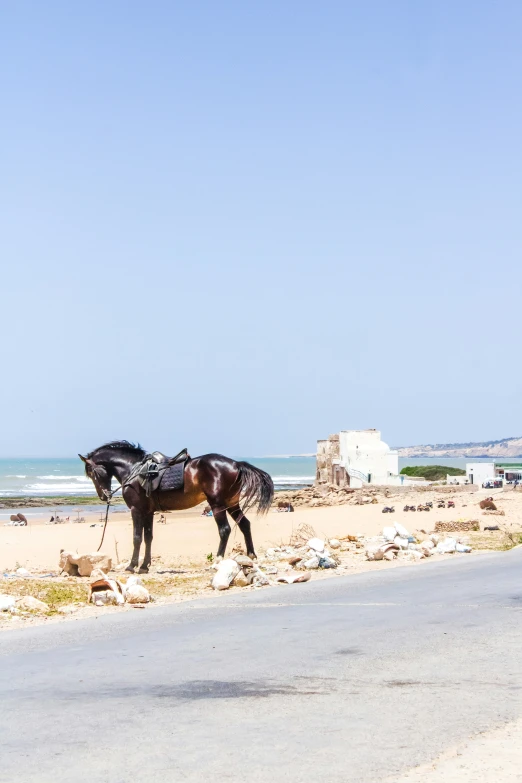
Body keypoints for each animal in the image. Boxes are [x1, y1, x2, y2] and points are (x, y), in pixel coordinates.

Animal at [78, 444, 272, 572]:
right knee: (245, 524)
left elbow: (137, 538)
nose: (104, 496)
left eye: (92, 473)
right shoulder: (148, 512)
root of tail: (236, 464)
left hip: (217, 504)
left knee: (224, 530)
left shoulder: (136, 510)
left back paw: (217, 561)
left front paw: (132, 566)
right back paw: (251, 556)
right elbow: (148, 538)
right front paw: (144, 566)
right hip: (232, 504)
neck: (134, 470)